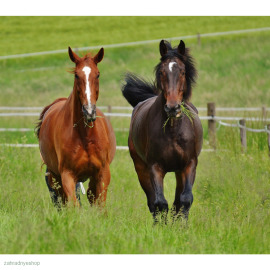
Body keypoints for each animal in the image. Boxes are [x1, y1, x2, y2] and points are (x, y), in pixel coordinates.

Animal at [35, 47, 116, 207]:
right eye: (77, 75)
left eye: (98, 74)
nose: (89, 111)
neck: (84, 135)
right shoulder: (67, 175)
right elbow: (74, 205)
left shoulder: (102, 173)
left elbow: (100, 205)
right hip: (55, 177)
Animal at [122, 40, 202, 221]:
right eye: (161, 72)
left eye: (182, 71)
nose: (172, 107)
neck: (173, 131)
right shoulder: (155, 167)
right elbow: (160, 203)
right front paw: (162, 227)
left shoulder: (189, 164)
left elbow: (185, 199)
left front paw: (182, 226)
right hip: (141, 168)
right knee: (152, 202)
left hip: (179, 171)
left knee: (177, 201)